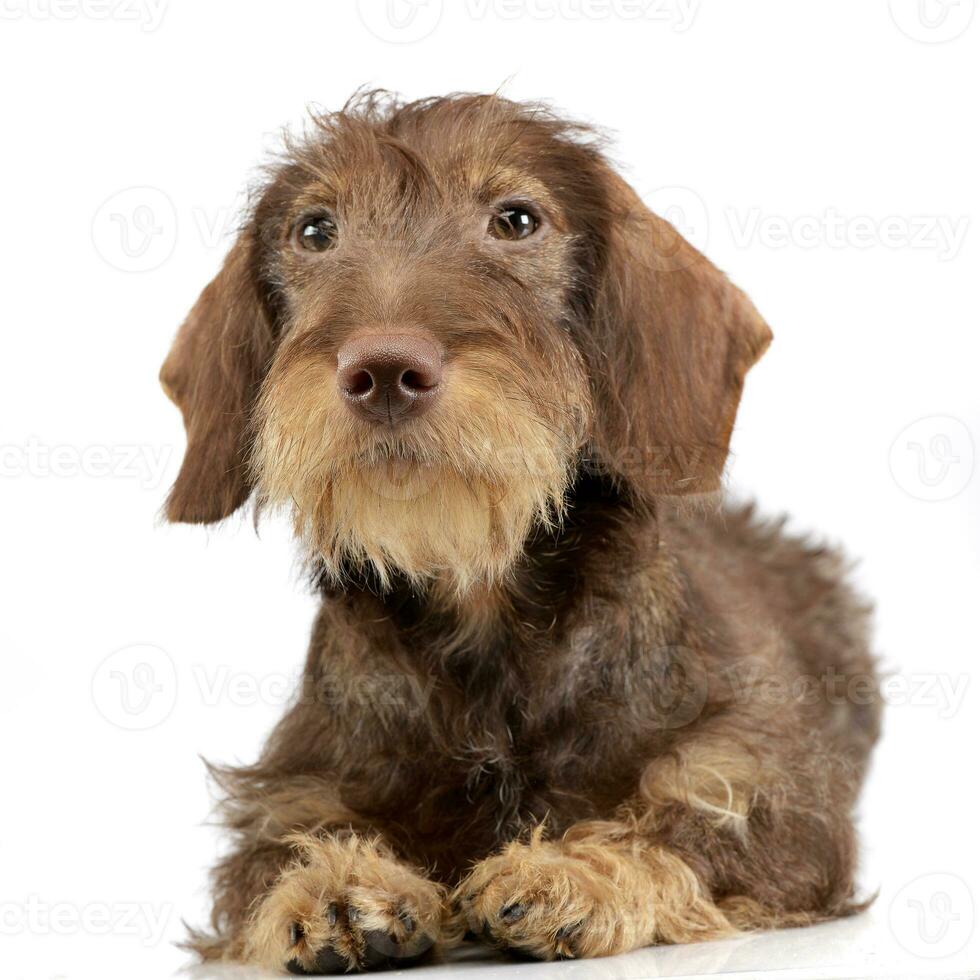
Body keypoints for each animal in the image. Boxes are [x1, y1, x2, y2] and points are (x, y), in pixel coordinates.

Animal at [161, 92, 880, 972]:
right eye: (315, 230)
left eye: (516, 219)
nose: (384, 370)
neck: (482, 602)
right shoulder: (293, 788)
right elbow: (276, 853)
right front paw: (336, 887)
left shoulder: (768, 790)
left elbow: (686, 824)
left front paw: (571, 873)